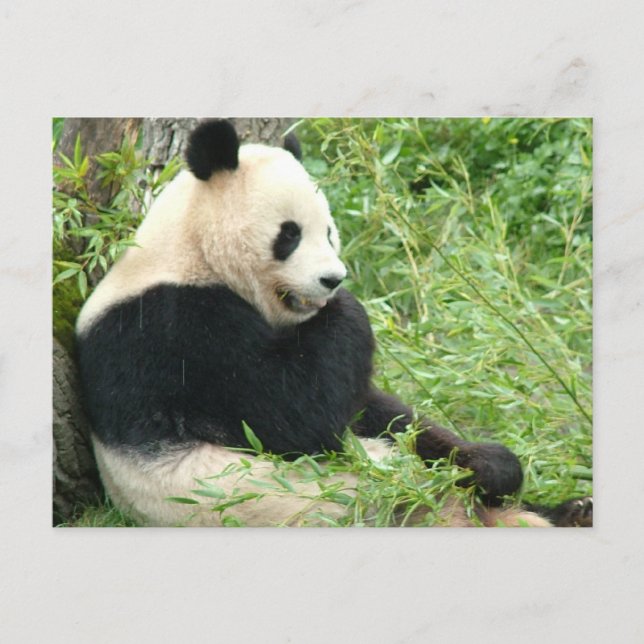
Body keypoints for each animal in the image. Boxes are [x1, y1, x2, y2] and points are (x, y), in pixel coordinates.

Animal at [75, 119, 592, 528]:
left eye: (328, 231)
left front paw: (490, 464)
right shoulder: (176, 334)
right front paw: (346, 308)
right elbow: (294, 414)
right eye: (289, 234)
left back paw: (572, 510)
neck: (190, 253)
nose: (332, 278)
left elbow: (383, 413)